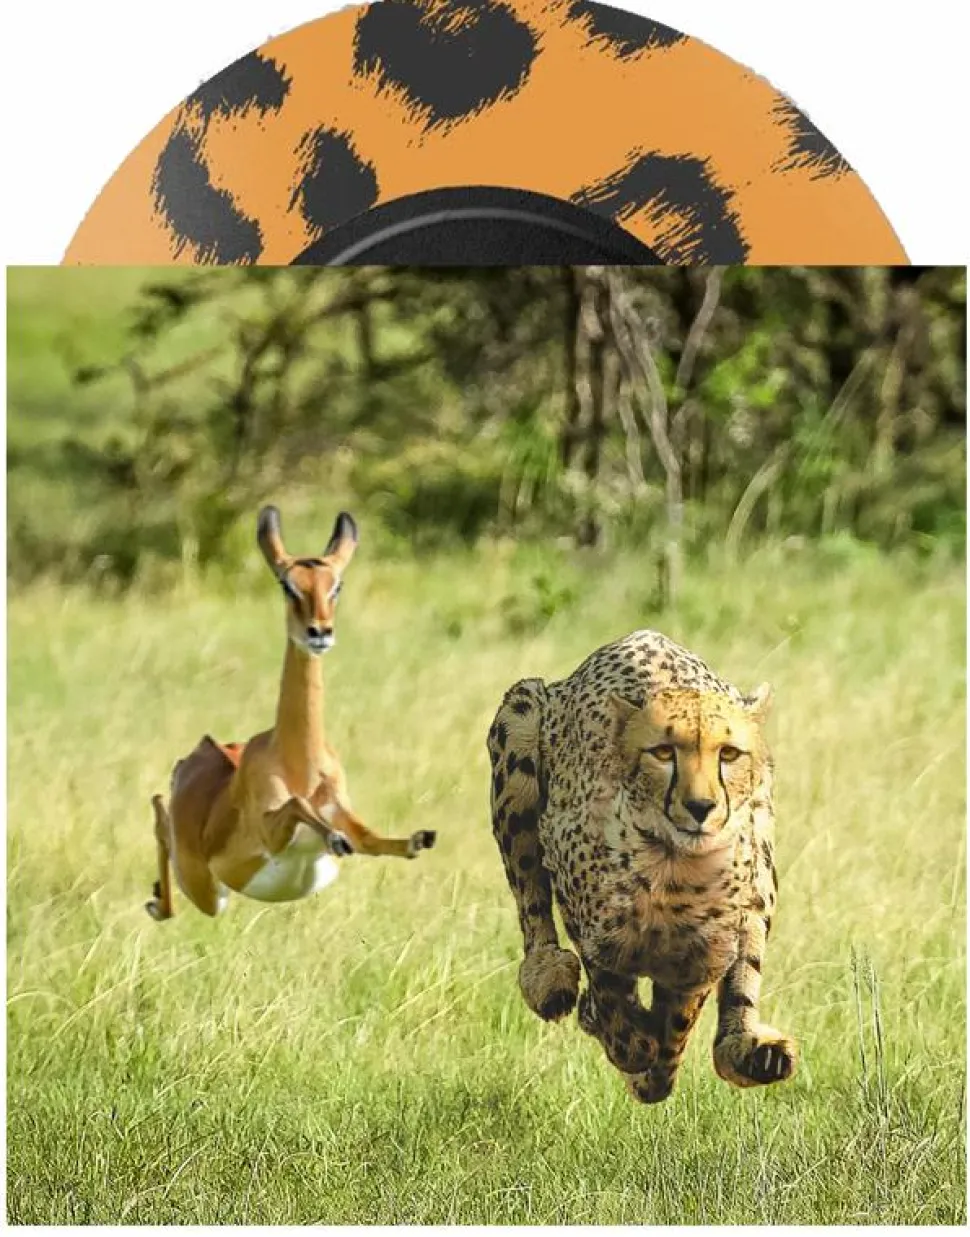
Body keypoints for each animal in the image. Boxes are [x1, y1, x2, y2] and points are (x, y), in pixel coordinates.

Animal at [145, 506, 436, 921]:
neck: (300, 766)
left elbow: (373, 838)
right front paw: (334, 838)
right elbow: (300, 807)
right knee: (159, 814)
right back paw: (155, 901)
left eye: (336, 585)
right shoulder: (272, 830)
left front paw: (418, 838)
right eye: (288, 585)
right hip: (205, 889)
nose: (320, 632)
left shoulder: (344, 811)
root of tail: (198, 752)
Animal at [487, 628, 796, 1104]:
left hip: (762, 856)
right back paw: (549, 981)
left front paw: (651, 1070)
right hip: (521, 716)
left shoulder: (702, 957)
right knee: (529, 897)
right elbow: (611, 994)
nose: (701, 807)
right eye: (663, 752)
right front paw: (625, 1042)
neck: (674, 870)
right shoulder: (590, 922)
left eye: (728, 754)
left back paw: (751, 1053)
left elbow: (678, 1022)